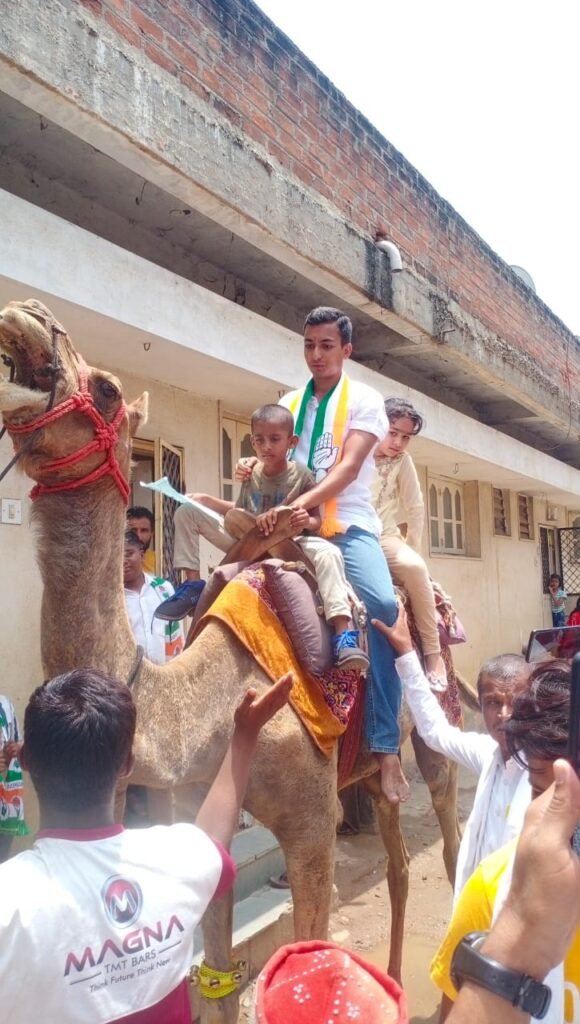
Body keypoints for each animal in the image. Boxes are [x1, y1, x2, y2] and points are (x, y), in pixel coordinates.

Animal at [0, 299, 463, 1019]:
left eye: (105, 389)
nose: (27, 311)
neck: (206, 707)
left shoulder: (313, 823)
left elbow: (308, 956)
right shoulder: (200, 811)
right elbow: (217, 982)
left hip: (432, 724)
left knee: (448, 835)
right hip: (368, 770)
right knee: (396, 853)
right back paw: (391, 977)